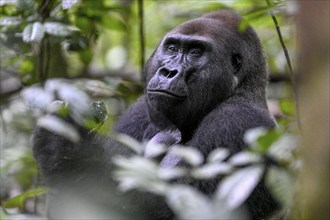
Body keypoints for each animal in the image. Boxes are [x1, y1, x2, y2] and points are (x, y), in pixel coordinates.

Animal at [32, 9, 282, 219]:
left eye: (195, 52)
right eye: (172, 48)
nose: (168, 71)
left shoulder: (237, 122)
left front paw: (63, 145)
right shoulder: (142, 109)